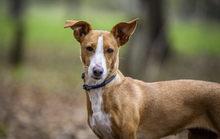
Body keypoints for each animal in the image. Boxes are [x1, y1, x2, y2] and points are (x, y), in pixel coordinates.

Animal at [63, 18, 220, 139]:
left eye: (110, 50)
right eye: (89, 48)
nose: (98, 71)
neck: (105, 89)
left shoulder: (127, 135)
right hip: (200, 134)